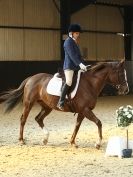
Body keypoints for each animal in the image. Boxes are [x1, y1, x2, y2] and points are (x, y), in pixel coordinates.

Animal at [0, 60, 129, 149]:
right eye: (121, 74)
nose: (126, 90)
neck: (90, 84)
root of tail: (31, 78)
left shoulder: (82, 111)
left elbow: (77, 126)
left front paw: (72, 142)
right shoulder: (86, 110)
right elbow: (98, 122)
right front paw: (98, 143)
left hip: (47, 107)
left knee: (38, 118)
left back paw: (45, 139)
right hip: (28, 104)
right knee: (23, 119)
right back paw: (21, 140)